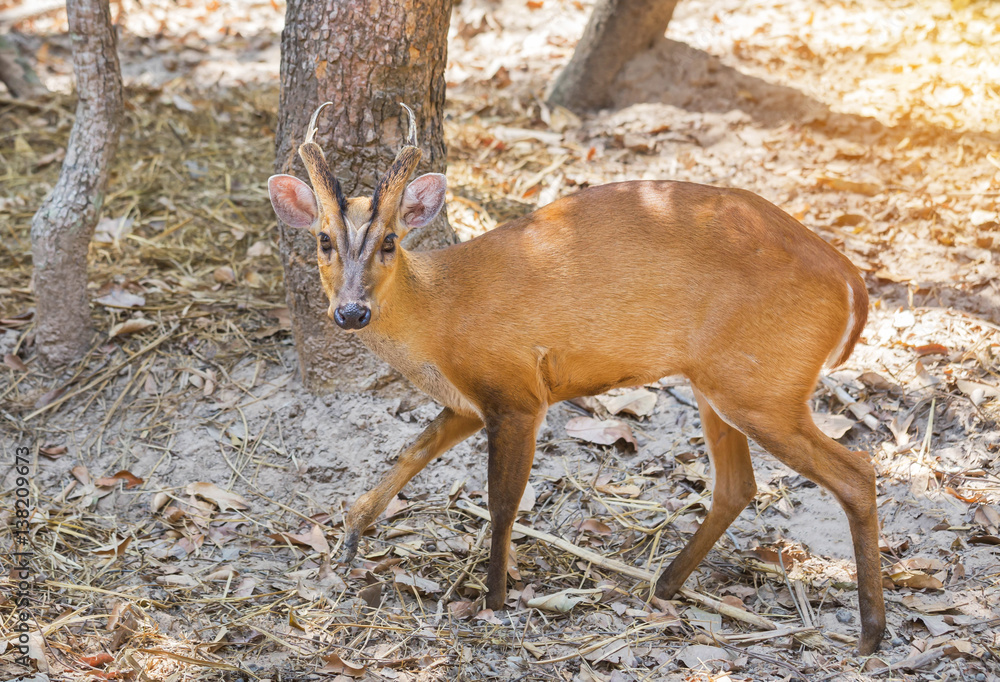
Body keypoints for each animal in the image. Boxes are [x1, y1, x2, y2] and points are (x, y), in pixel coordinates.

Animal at [267, 102, 885, 654]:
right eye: (323, 240)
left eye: (390, 241)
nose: (351, 312)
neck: (439, 316)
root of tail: (851, 280)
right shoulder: (470, 401)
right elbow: (411, 452)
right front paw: (349, 538)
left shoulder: (517, 393)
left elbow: (502, 501)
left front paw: (492, 599)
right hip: (721, 384)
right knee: (738, 485)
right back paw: (664, 585)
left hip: (762, 386)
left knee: (856, 472)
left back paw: (871, 633)